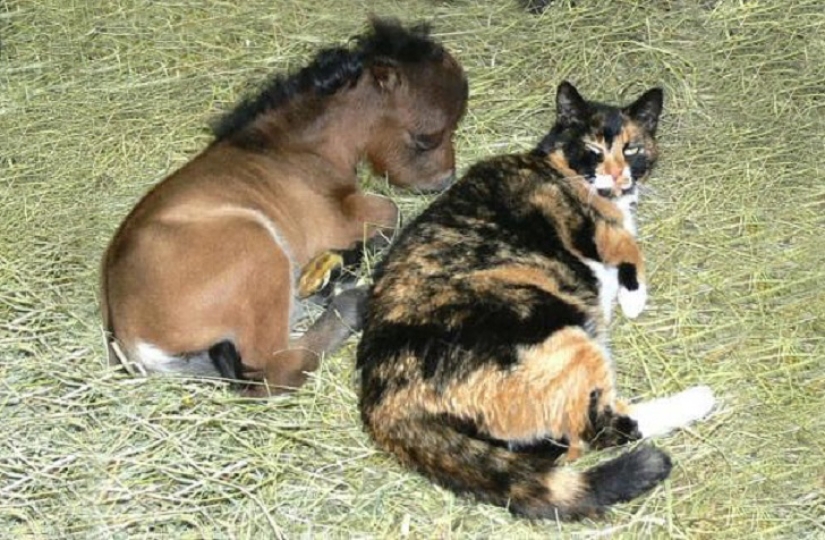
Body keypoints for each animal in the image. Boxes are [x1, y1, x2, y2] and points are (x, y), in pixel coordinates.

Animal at [101, 17, 469, 396]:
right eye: (426, 138)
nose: (443, 181)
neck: (291, 148)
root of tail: (134, 342)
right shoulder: (333, 220)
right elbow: (391, 212)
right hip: (258, 251)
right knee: (277, 369)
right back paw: (351, 300)